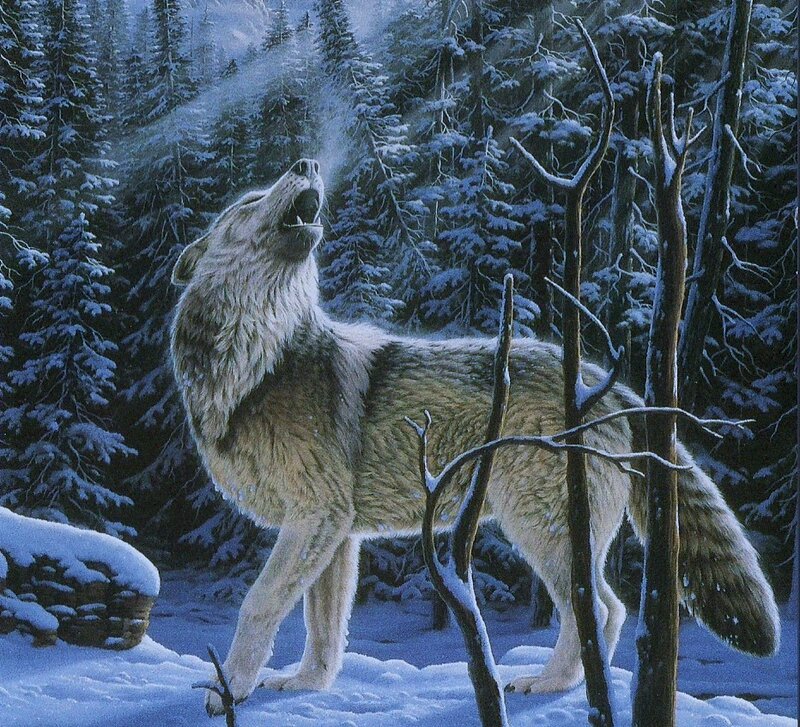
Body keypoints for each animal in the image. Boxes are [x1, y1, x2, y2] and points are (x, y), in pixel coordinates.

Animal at [170, 159, 780, 715]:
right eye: (251, 201)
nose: (308, 162)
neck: (257, 362)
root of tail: (598, 381)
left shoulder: (315, 517)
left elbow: (258, 603)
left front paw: (230, 692)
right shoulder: (335, 530)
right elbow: (324, 625)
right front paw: (306, 686)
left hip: (542, 529)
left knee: (603, 609)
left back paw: (550, 686)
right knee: (607, 609)